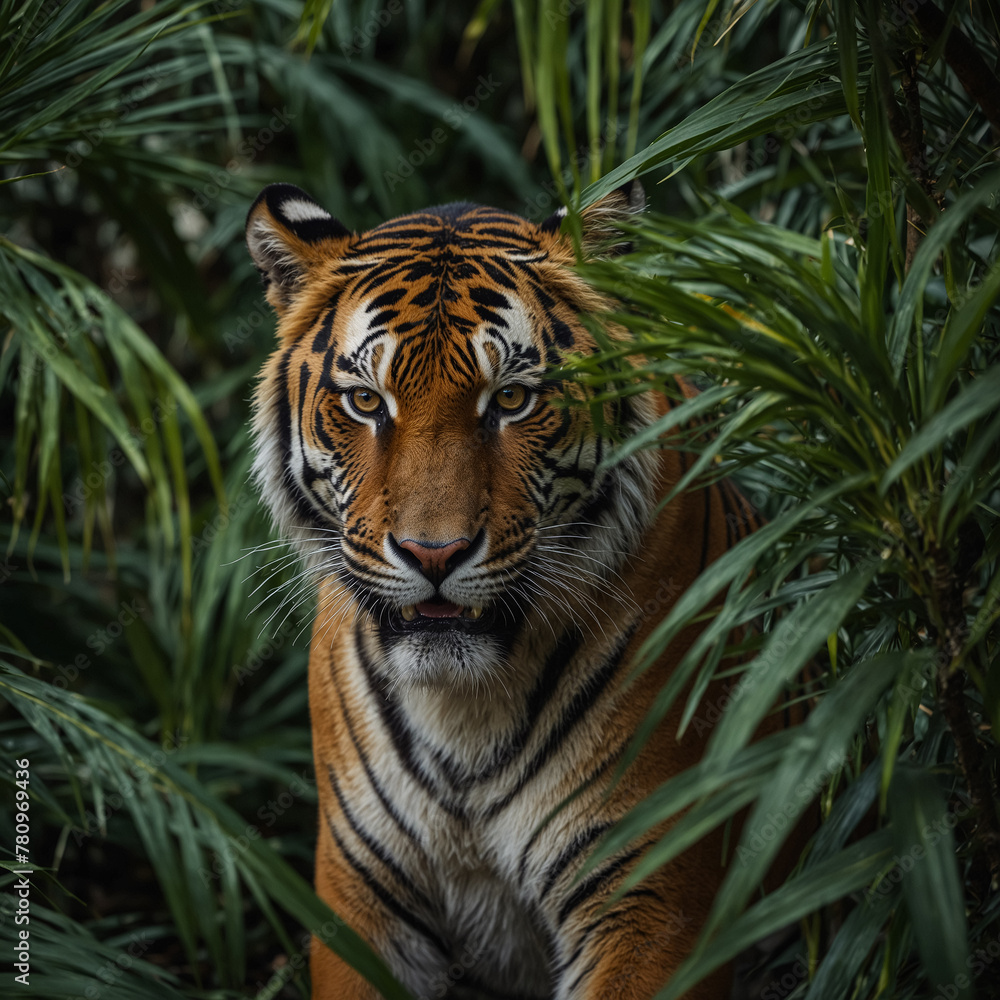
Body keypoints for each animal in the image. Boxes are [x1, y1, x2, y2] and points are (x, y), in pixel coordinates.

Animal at [246, 182, 768, 1000]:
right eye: (366, 403)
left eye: (513, 399)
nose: (433, 552)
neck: (463, 707)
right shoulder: (362, 894)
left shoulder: (648, 893)